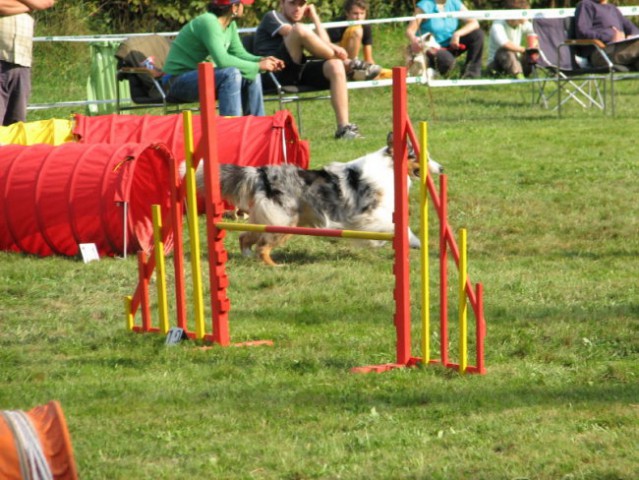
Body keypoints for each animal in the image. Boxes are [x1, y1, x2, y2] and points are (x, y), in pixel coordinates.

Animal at [192, 134, 442, 266]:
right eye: (420, 156)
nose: (442, 168)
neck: (389, 167)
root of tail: (263, 173)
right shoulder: (367, 215)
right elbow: (396, 228)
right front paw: (412, 242)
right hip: (283, 222)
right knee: (263, 246)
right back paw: (275, 266)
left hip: (269, 219)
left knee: (245, 237)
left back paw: (247, 257)